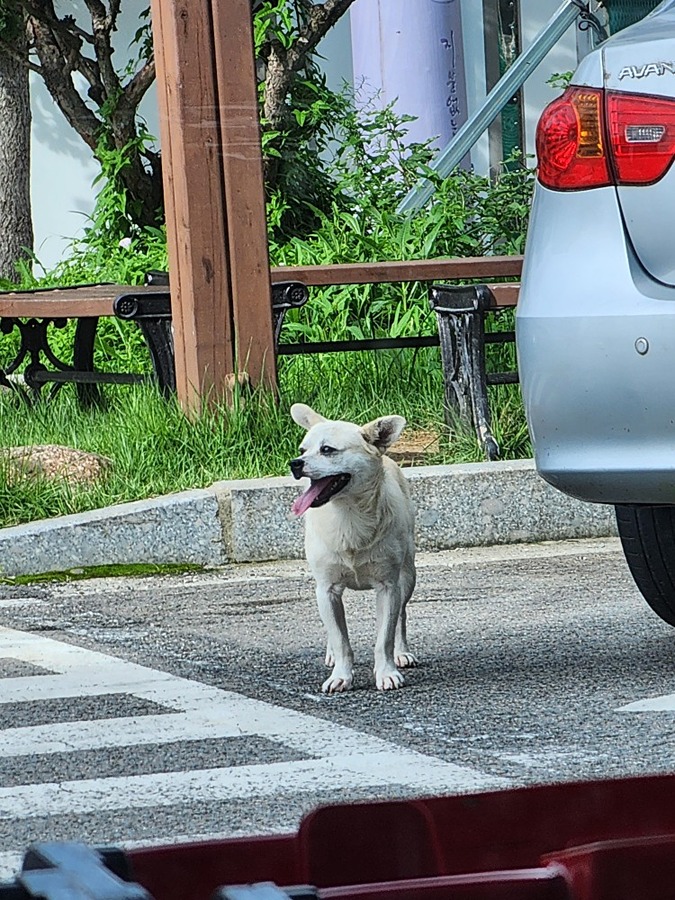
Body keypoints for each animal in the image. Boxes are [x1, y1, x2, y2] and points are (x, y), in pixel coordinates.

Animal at [290, 404, 418, 692]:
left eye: (327, 450)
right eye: (302, 449)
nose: (294, 463)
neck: (347, 516)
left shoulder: (389, 587)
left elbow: (385, 637)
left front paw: (386, 672)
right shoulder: (326, 590)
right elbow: (340, 639)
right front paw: (341, 675)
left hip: (408, 576)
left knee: (401, 616)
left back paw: (402, 652)